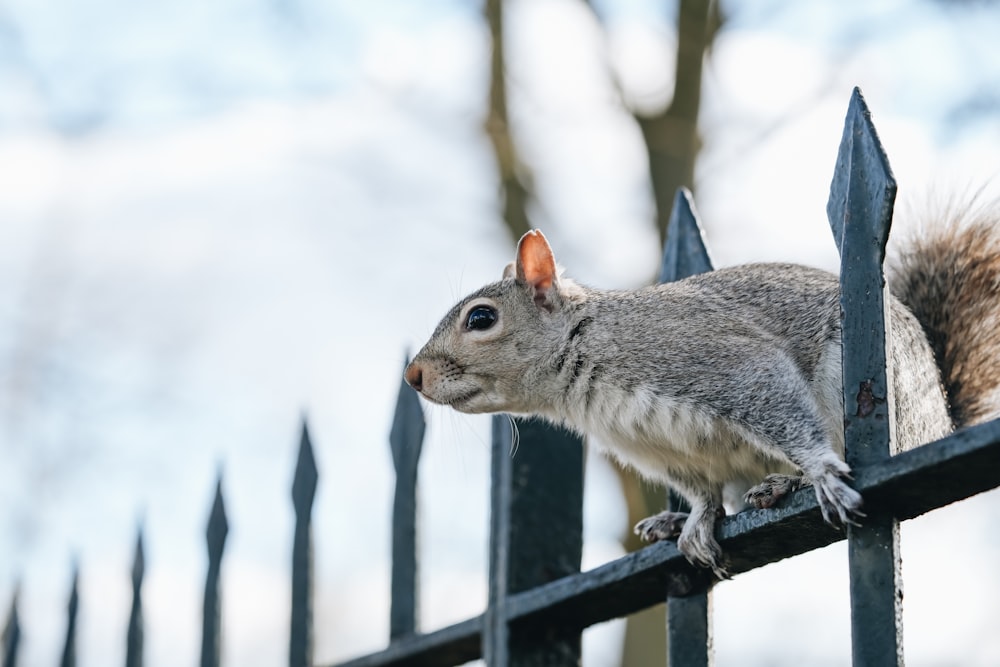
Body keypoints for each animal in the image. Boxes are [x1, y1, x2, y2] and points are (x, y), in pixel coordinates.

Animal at [402, 209, 1000, 580]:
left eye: (482, 318)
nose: (412, 376)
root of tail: (939, 423)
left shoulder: (718, 363)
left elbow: (775, 400)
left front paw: (822, 472)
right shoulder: (666, 453)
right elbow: (704, 493)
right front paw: (692, 521)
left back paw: (789, 481)